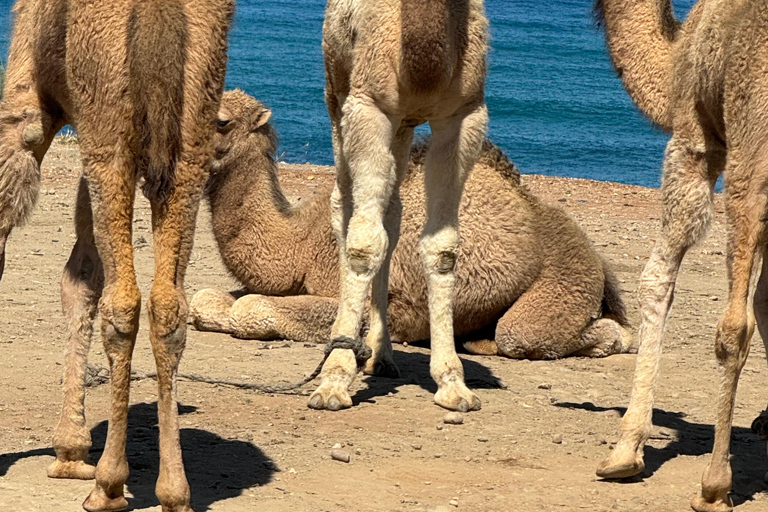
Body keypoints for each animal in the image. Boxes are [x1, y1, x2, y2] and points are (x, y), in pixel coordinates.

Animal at [0, 1, 234, 512]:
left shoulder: (30, 103)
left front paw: (71, 452)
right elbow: (83, 273)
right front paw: (71, 450)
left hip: (109, 124)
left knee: (122, 299)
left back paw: (108, 485)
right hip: (191, 135)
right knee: (167, 306)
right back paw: (174, 492)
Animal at [189, 91, 632, 364]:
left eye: (222, 121)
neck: (300, 242)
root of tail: (596, 256)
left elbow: (251, 308)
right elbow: (204, 300)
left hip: (565, 277)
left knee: (524, 333)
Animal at [312, 0, 492, 412]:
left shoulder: (463, 115)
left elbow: (443, 248)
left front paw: (453, 384)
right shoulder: (367, 107)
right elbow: (363, 243)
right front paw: (333, 382)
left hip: (404, 126)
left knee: (391, 214)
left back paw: (381, 356)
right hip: (336, 93)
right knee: (344, 203)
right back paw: (340, 342)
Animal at [592, 1, 768, 508]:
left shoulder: (695, 135)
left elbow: (655, 279)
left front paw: (625, 450)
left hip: (751, 155)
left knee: (735, 325)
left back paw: (713, 485)